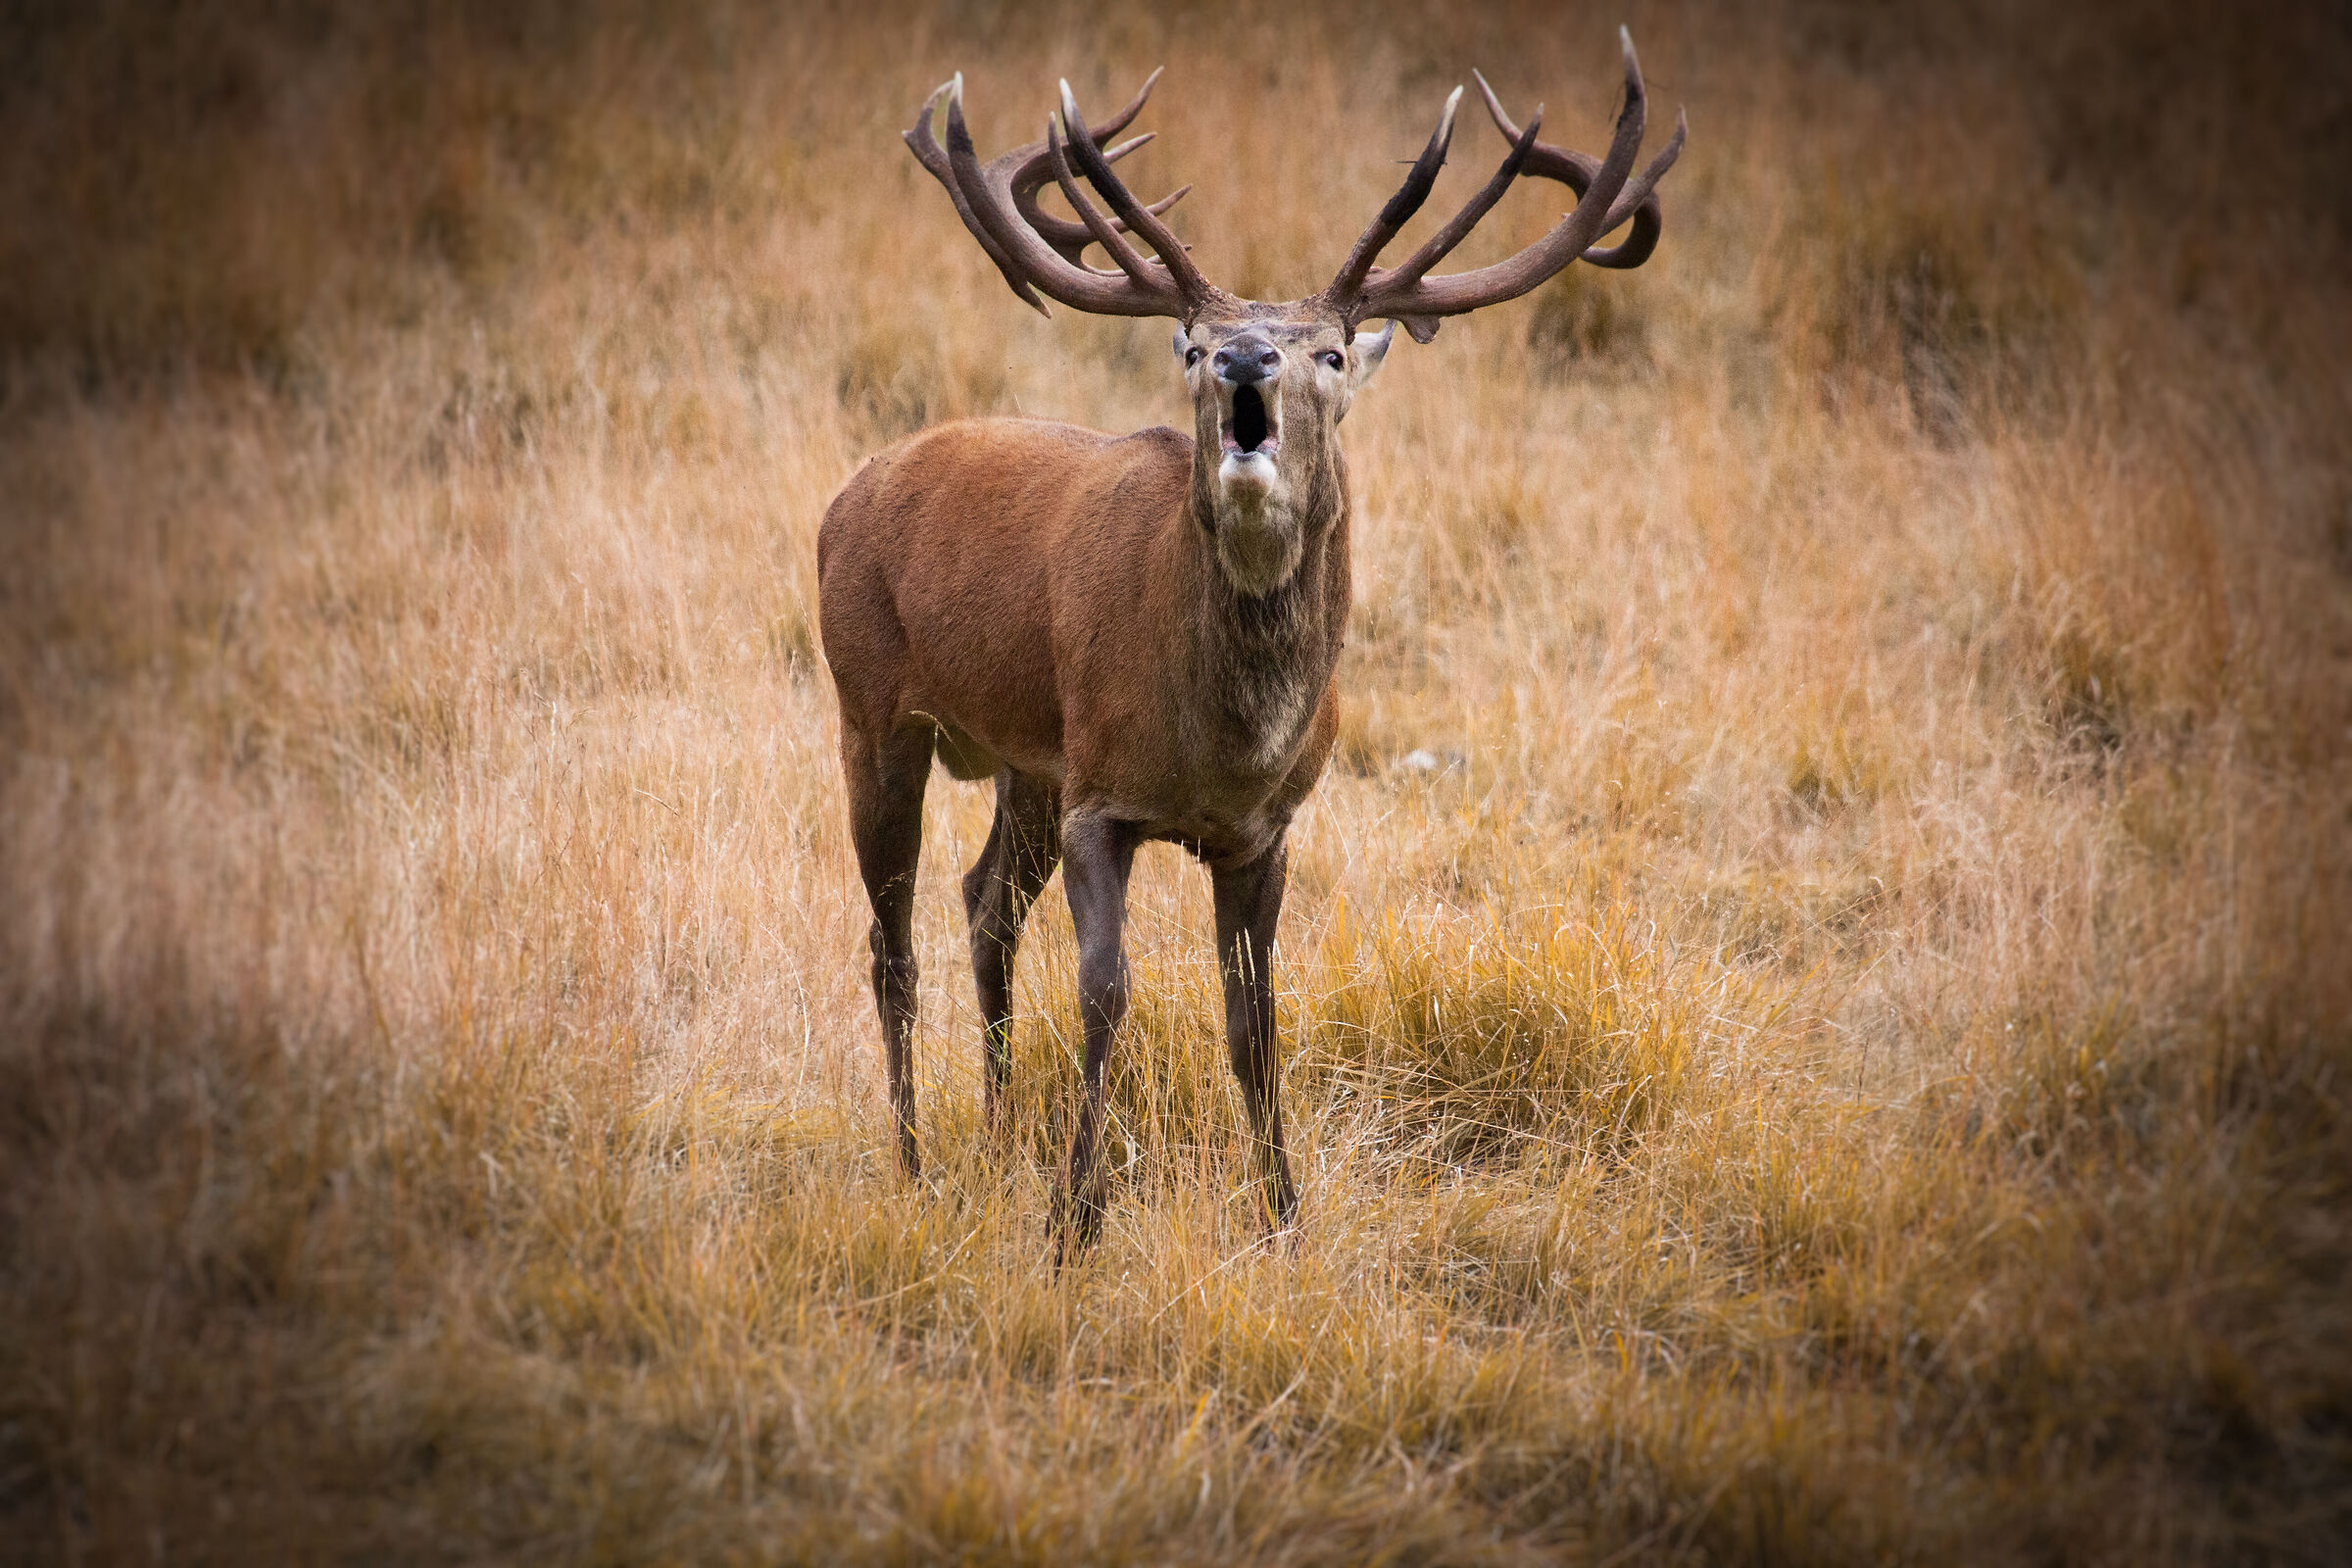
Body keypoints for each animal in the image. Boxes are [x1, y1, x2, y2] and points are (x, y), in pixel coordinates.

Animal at [817, 29, 1683, 1261]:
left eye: (1330, 353)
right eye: (1188, 343)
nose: (1245, 365)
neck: (1224, 742)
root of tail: (849, 492)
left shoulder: (1265, 826)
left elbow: (1257, 1018)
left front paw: (1284, 1213)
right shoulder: (1102, 794)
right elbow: (1108, 991)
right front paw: (1075, 1219)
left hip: (1026, 761)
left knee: (982, 903)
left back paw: (993, 1132)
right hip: (872, 703)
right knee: (890, 942)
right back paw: (914, 1162)